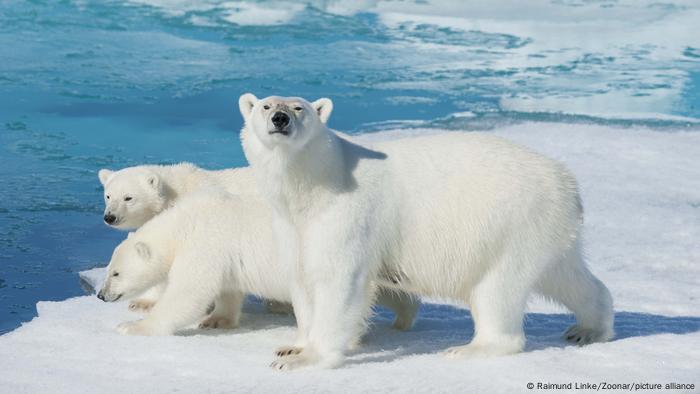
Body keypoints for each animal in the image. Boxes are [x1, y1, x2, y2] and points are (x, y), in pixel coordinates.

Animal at [239, 92, 612, 370]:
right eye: (266, 106)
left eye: (299, 108)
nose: (280, 119)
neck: (314, 182)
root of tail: (567, 183)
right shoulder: (293, 225)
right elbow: (302, 277)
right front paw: (292, 347)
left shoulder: (347, 214)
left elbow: (337, 280)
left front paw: (305, 358)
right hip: (548, 229)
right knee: (566, 276)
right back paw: (589, 328)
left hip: (511, 225)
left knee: (497, 287)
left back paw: (469, 348)